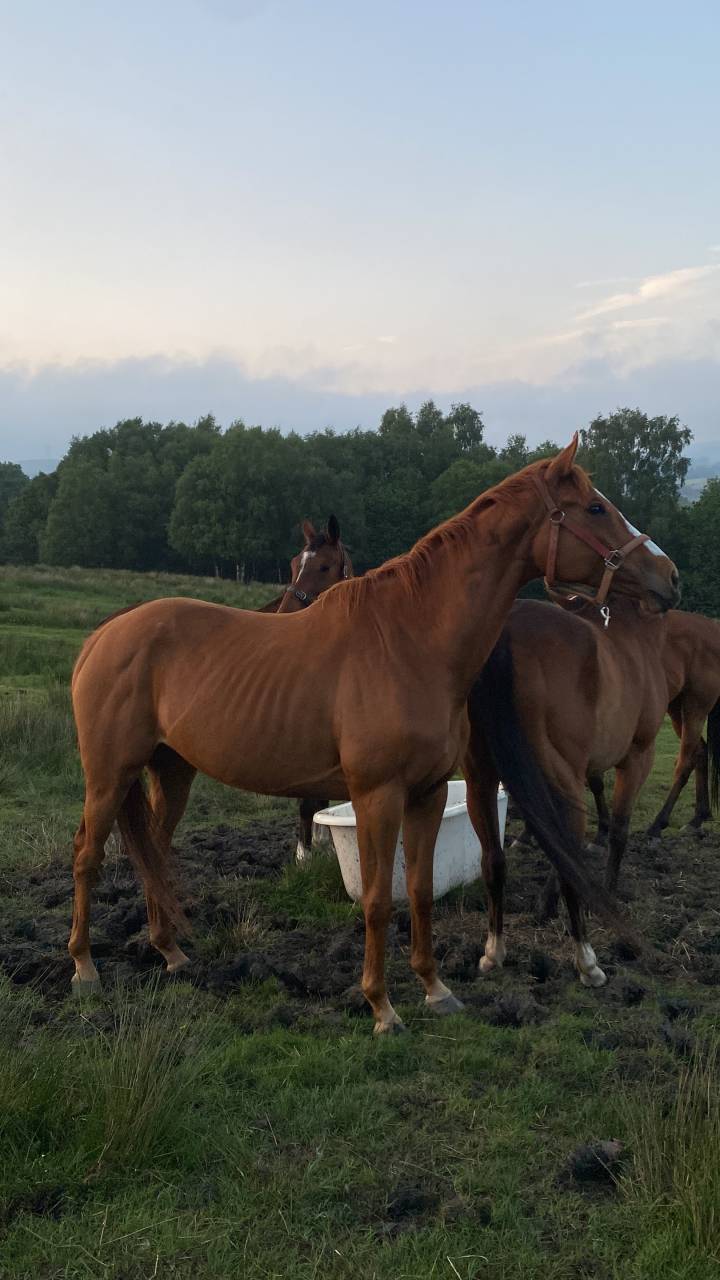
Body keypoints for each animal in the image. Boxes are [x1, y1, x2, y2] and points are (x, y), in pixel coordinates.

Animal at [463, 591, 673, 985]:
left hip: (480, 778)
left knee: (494, 859)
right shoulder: (638, 757)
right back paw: (587, 962)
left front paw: (544, 905)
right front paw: (607, 892)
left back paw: (494, 951)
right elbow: (616, 833)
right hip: (565, 777)